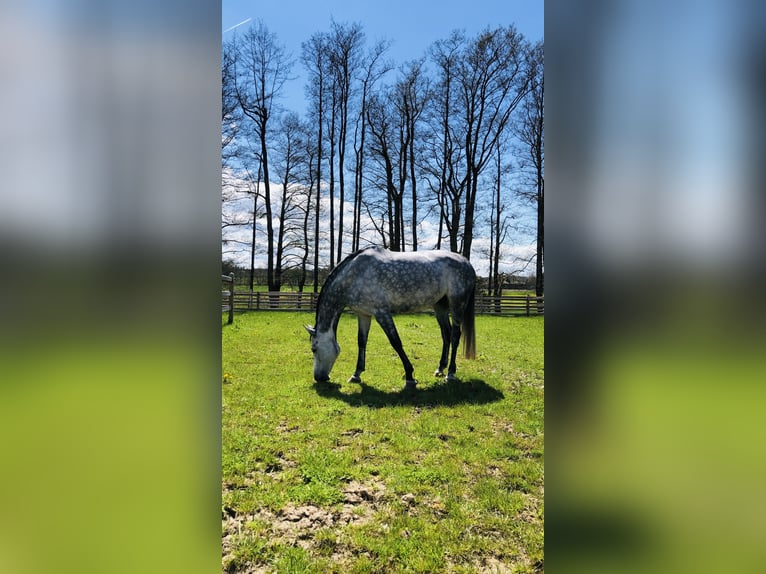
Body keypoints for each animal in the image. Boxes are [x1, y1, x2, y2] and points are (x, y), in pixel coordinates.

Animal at [304, 245, 474, 390]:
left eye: (314, 349)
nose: (319, 378)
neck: (354, 275)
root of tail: (466, 262)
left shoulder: (382, 313)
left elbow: (396, 342)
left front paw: (410, 376)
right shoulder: (364, 314)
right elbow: (361, 341)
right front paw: (356, 374)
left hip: (457, 305)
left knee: (455, 336)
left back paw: (451, 373)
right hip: (440, 307)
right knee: (446, 335)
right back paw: (440, 369)